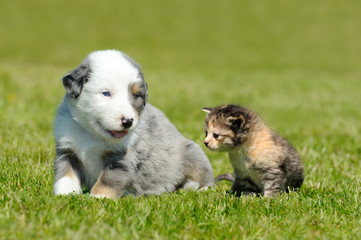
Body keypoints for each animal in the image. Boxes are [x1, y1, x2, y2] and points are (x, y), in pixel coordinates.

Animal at [53, 49, 214, 198]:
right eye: (106, 93)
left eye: (136, 95)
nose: (128, 121)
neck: (90, 134)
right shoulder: (67, 151)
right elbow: (66, 176)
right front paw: (65, 195)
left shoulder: (121, 158)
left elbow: (107, 180)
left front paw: (99, 198)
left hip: (193, 152)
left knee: (206, 178)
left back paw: (196, 188)